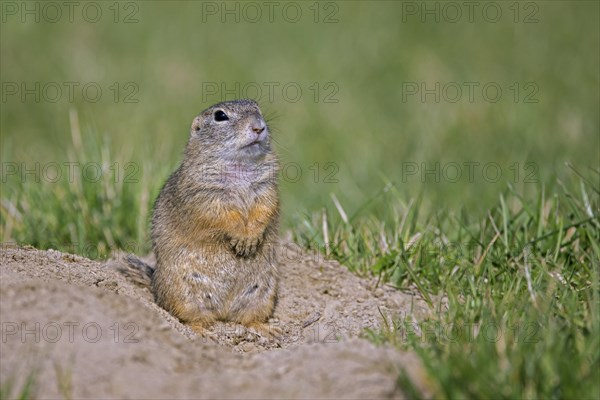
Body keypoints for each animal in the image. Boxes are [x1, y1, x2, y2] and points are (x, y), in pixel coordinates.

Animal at [123, 98, 282, 336]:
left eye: (257, 108)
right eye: (220, 116)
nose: (258, 127)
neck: (240, 166)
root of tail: (223, 313)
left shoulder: (266, 187)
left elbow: (265, 208)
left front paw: (251, 238)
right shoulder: (204, 193)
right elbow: (218, 215)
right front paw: (240, 238)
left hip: (262, 293)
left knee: (247, 318)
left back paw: (265, 328)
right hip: (183, 294)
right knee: (190, 318)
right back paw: (200, 331)